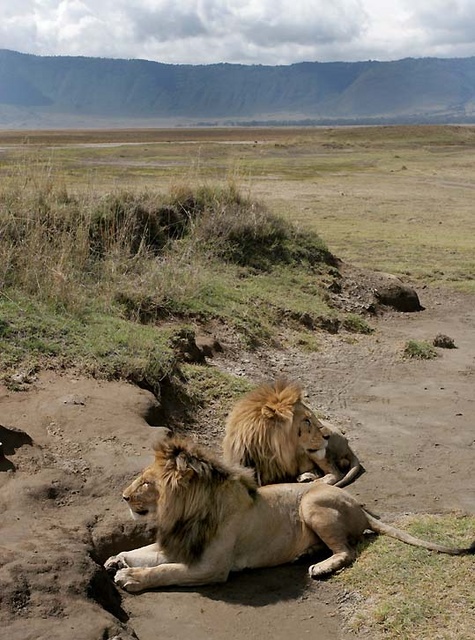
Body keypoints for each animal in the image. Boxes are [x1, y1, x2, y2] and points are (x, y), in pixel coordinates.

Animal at [105, 437, 474, 592]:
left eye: (147, 482)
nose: (123, 496)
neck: (185, 515)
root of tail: (360, 508)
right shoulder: (179, 544)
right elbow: (144, 552)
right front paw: (117, 559)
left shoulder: (212, 567)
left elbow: (165, 570)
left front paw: (131, 577)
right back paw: (307, 553)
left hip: (312, 503)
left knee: (348, 551)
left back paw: (321, 565)